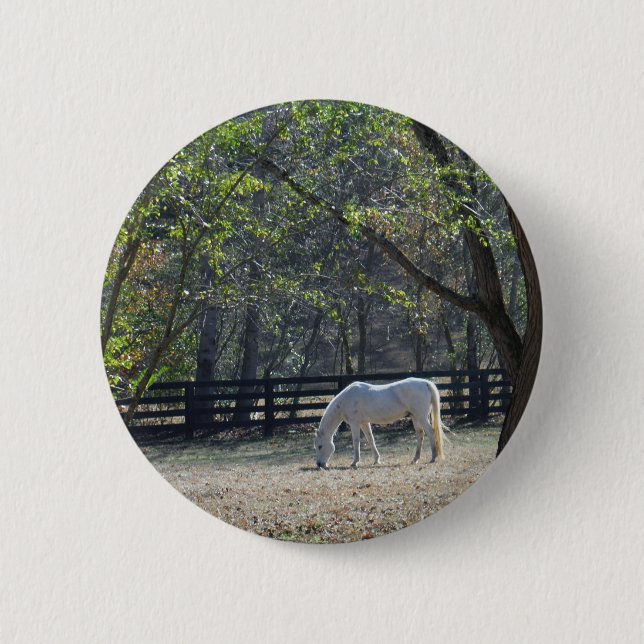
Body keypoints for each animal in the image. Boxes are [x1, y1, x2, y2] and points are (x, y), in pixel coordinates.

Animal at [314, 377, 445, 469]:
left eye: (320, 446)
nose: (319, 464)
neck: (346, 399)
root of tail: (426, 383)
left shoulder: (354, 423)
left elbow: (356, 442)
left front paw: (355, 462)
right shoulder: (364, 423)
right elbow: (370, 440)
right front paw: (376, 460)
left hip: (421, 417)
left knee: (431, 432)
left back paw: (433, 457)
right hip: (415, 417)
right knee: (420, 435)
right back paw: (415, 459)